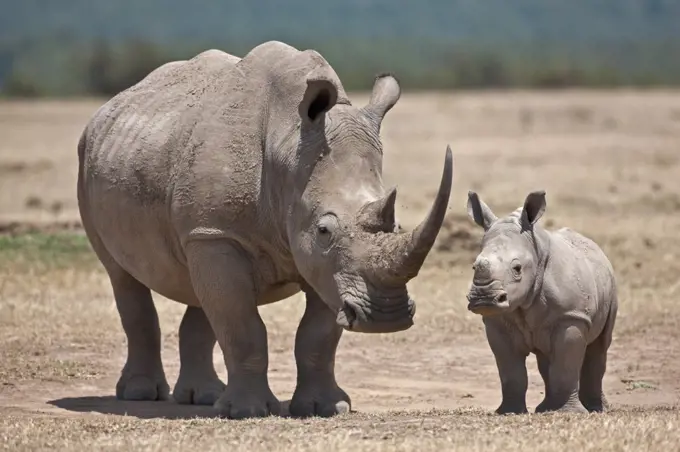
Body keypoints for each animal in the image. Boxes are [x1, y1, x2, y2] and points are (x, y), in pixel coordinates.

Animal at [77, 40, 454, 418]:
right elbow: (243, 327)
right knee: (123, 276)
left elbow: (316, 336)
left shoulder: (321, 263)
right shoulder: (223, 233)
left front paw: (325, 408)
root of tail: (110, 107)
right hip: (90, 161)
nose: (386, 316)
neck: (287, 145)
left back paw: (203, 397)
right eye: (324, 230)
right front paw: (246, 412)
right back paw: (142, 394)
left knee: (200, 288)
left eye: (396, 225)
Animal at [468, 190, 616, 414]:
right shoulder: (497, 323)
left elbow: (565, 366)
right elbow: (511, 371)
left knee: (599, 346)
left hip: (611, 284)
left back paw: (596, 409)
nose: (483, 298)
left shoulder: (571, 316)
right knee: (546, 357)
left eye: (517, 268)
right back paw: (545, 408)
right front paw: (509, 412)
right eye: (474, 266)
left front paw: (568, 413)